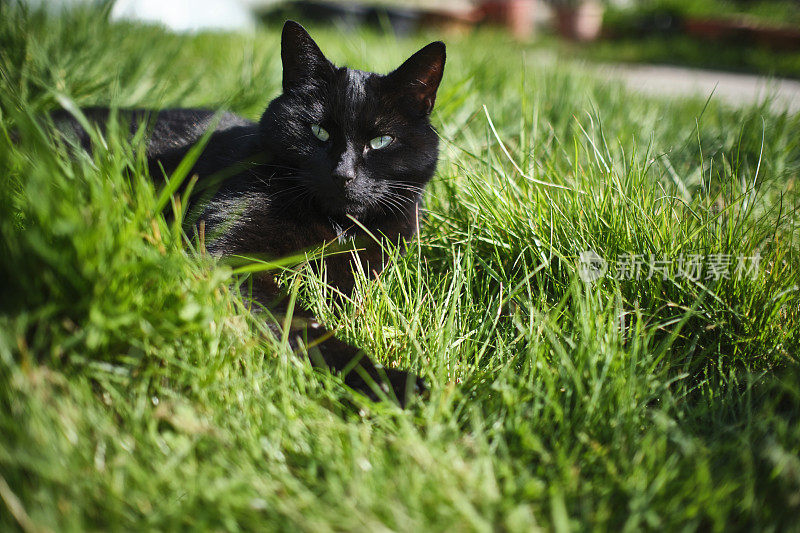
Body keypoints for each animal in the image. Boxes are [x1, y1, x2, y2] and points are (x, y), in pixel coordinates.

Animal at [53, 19, 446, 404]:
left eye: (381, 141)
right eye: (318, 131)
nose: (343, 174)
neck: (336, 225)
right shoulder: (226, 255)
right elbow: (300, 323)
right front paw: (390, 384)